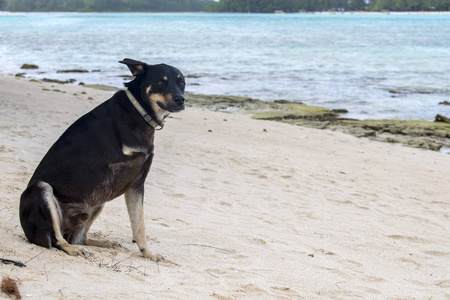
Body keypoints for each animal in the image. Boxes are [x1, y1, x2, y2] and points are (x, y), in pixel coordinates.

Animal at [19, 58, 185, 260]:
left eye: (182, 83)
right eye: (161, 81)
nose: (181, 99)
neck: (140, 112)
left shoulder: (136, 184)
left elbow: (139, 224)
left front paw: (148, 253)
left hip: (97, 203)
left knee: (80, 237)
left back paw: (103, 243)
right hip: (41, 189)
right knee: (58, 239)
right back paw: (72, 248)